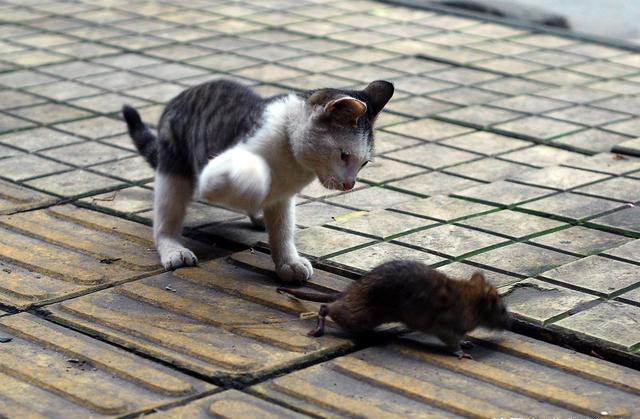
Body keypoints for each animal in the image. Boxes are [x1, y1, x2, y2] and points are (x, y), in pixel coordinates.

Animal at [122, 79, 392, 282]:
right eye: (344, 155)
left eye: (364, 163)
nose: (349, 185)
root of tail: (180, 98)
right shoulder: (213, 169)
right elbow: (256, 171)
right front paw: (253, 186)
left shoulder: (284, 198)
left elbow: (283, 229)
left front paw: (289, 262)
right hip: (173, 169)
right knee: (165, 219)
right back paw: (173, 249)